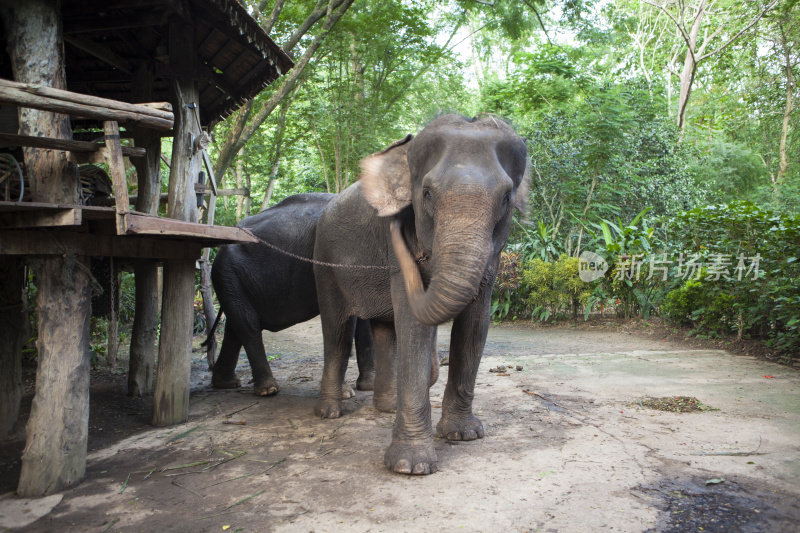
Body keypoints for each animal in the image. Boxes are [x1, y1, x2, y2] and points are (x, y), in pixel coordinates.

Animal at [206, 191, 376, 394]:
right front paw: (346, 393)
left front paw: (368, 387)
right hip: (227, 274)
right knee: (247, 323)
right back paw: (268, 390)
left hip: (233, 280)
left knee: (234, 327)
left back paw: (226, 383)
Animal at [312, 113, 532, 474]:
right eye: (427, 193)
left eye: (506, 198)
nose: (394, 225)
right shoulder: (395, 256)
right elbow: (414, 327)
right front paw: (409, 467)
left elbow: (476, 324)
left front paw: (464, 435)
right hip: (324, 263)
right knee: (337, 330)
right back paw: (329, 412)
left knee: (384, 329)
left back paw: (386, 408)